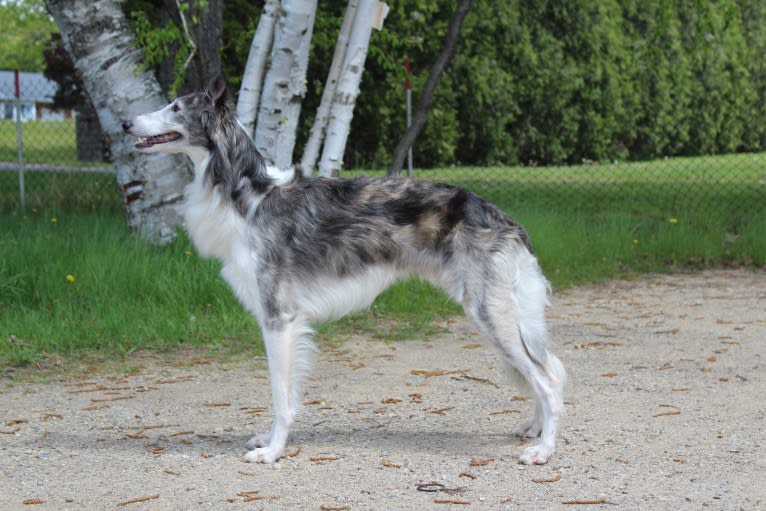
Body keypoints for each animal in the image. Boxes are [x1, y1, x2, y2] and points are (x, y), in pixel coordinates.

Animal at [123, 74, 568, 466]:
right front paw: (269, 441)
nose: (127, 123)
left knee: (548, 380)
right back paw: (534, 429)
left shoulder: (278, 318)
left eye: (175, 107)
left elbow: (280, 396)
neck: (248, 196)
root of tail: (503, 218)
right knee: (546, 371)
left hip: (490, 312)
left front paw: (273, 451)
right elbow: (288, 393)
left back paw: (544, 451)